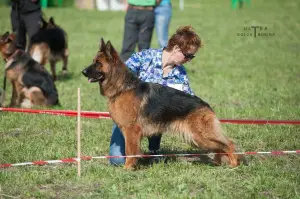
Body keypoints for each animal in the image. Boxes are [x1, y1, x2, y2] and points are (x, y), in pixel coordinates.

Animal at [82, 38, 246, 169]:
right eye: (93, 61)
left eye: (98, 63)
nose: (83, 72)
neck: (122, 87)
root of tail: (206, 106)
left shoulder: (131, 131)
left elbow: (130, 152)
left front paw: (128, 169)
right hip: (197, 139)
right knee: (221, 147)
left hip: (200, 137)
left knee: (228, 144)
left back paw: (233, 164)